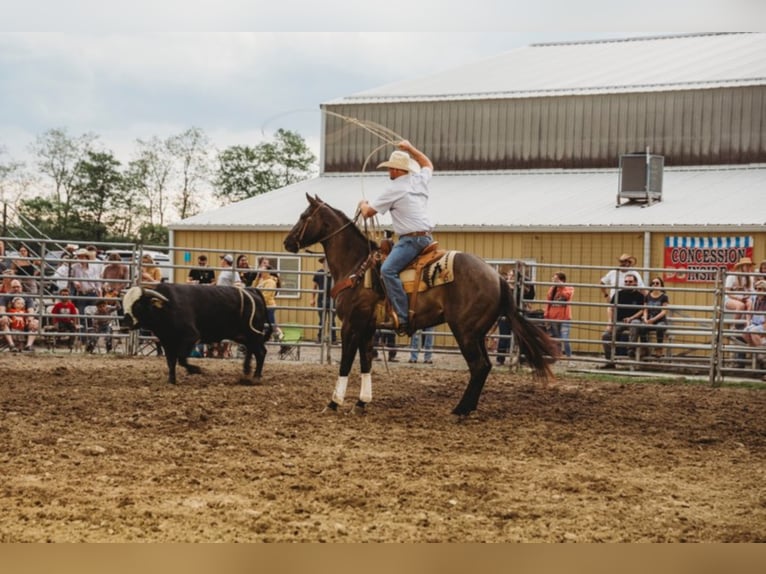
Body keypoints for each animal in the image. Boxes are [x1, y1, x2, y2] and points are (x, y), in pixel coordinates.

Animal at [282, 196, 560, 416]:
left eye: (304, 216)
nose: (287, 242)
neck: (357, 267)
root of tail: (497, 277)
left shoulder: (351, 325)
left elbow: (346, 363)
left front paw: (333, 403)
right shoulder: (367, 328)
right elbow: (365, 363)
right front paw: (361, 403)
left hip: (465, 332)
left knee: (479, 366)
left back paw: (460, 410)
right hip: (477, 333)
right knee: (485, 367)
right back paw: (468, 407)